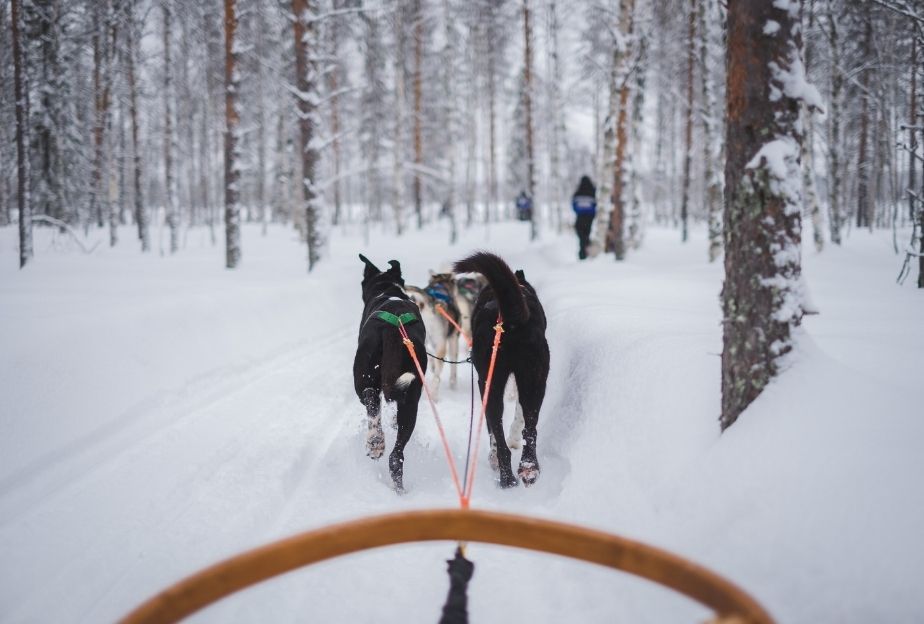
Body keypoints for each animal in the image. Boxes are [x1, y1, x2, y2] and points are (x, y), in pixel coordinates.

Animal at [352, 254, 428, 492]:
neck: (387, 289)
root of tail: (394, 328)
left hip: (364, 377)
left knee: (370, 399)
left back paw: (375, 442)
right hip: (410, 396)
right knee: (396, 456)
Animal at [454, 252, 548, 488]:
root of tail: (509, 318)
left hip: (491, 383)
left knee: (498, 432)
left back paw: (506, 475)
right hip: (534, 380)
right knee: (530, 430)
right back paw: (526, 469)